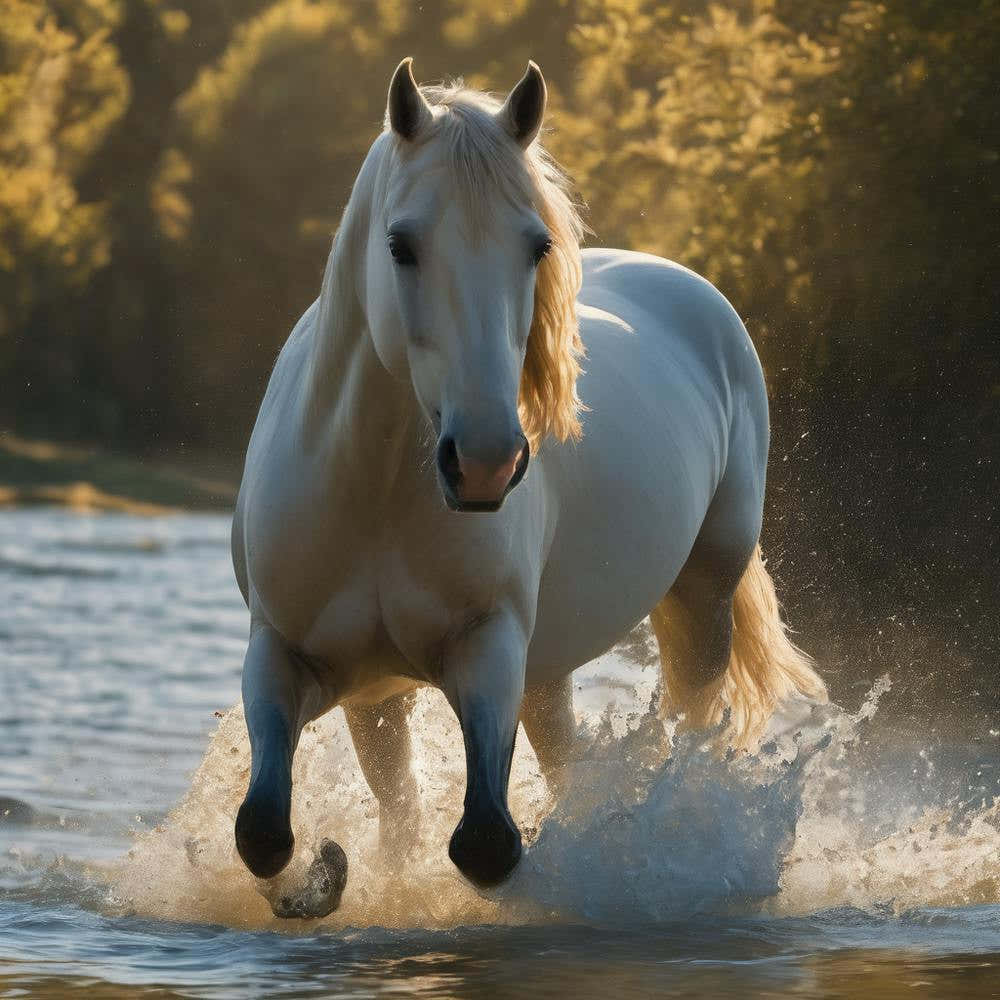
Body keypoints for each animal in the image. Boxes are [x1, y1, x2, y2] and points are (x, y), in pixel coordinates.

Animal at [230, 58, 827, 918]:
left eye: (536, 245)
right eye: (401, 244)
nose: (484, 461)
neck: (376, 492)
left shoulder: (487, 652)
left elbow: (487, 842)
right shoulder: (301, 661)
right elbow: (265, 830)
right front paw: (322, 879)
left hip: (701, 604)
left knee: (690, 738)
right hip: (519, 675)